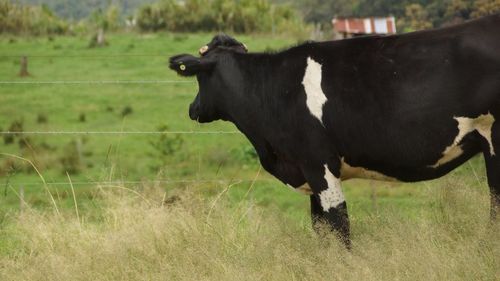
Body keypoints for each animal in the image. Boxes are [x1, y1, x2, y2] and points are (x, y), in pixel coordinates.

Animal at [170, 14, 500, 246]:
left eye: (199, 77)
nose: (192, 108)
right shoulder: (307, 170)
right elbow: (320, 228)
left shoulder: (319, 163)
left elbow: (339, 226)